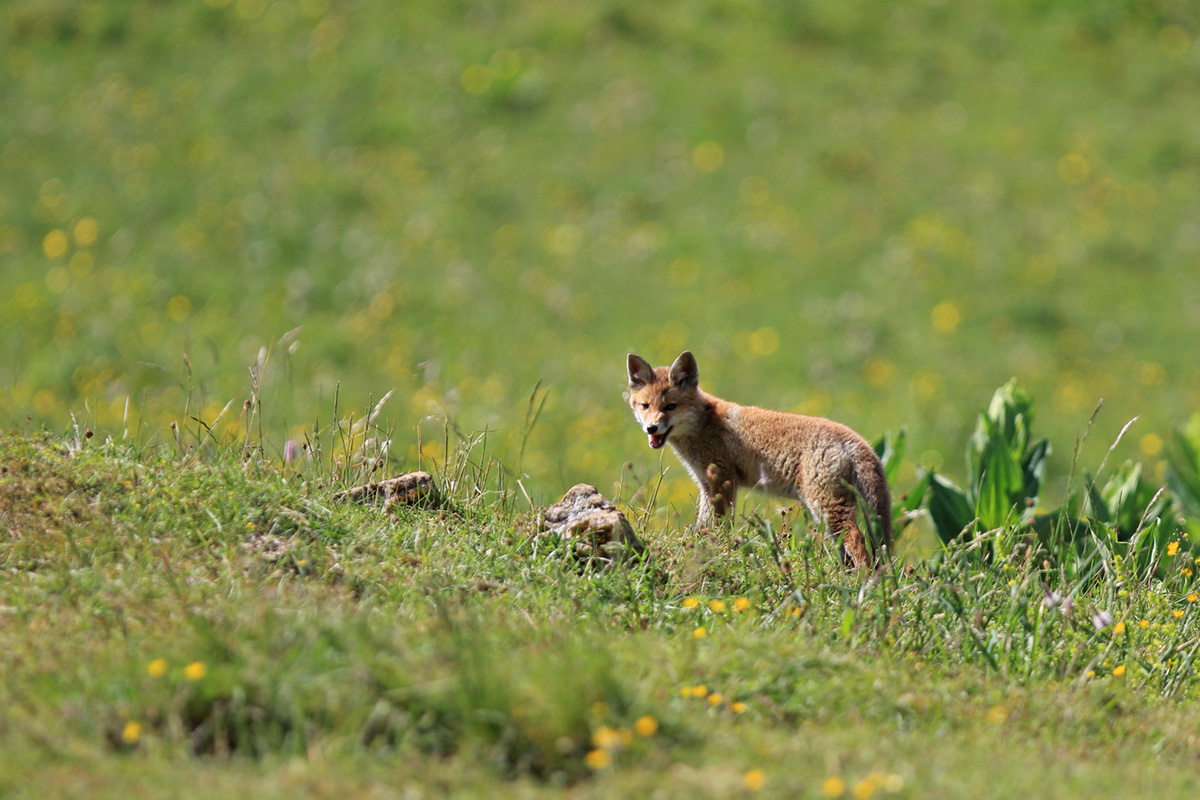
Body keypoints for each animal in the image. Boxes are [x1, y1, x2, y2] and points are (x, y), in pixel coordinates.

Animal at [628, 352, 892, 568]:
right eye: (645, 406)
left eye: (671, 406)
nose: (652, 428)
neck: (703, 424)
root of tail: (856, 439)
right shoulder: (706, 484)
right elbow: (703, 525)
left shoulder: (724, 480)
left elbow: (721, 527)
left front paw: (718, 550)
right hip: (828, 512)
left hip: (826, 507)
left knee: (857, 541)